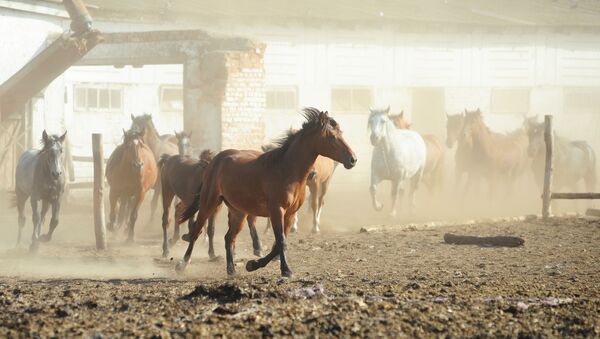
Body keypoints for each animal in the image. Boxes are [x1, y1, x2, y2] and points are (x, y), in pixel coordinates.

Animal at [178, 107, 356, 278]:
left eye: (341, 133)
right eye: (332, 136)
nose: (353, 159)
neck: (286, 170)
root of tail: (215, 160)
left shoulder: (290, 214)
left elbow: (278, 244)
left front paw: (253, 264)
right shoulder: (277, 211)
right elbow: (281, 241)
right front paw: (286, 271)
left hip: (238, 212)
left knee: (229, 237)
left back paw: (231, 269)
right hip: (209, 202)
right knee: (196, 231)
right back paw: (183, 264)